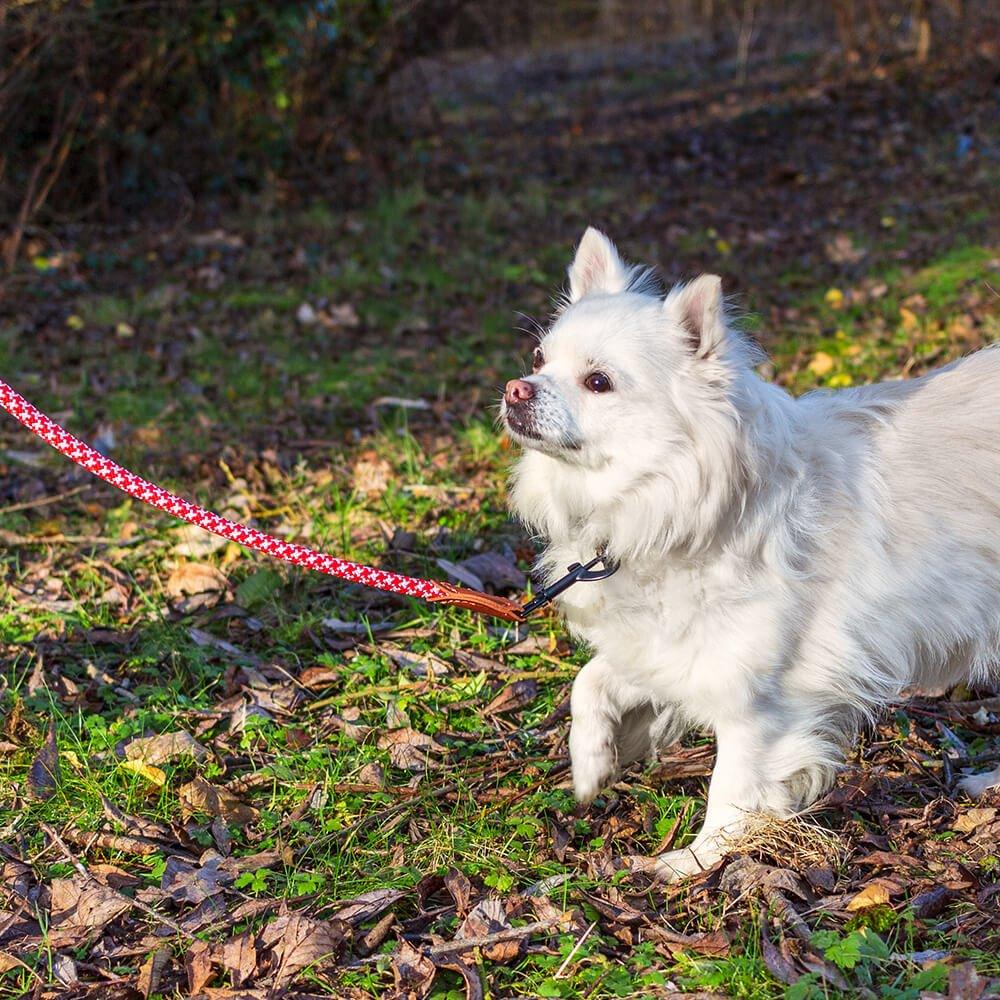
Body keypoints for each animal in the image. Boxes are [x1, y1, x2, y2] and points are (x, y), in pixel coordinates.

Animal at [504, 230, 1000, 880]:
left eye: (598, 382)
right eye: (539, 360)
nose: (516, 389)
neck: (658, 505)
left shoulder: (763, 696)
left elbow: (735, 785)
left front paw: (697, 861)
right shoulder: (674, 647)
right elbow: (593, 680)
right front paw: (593, 765)